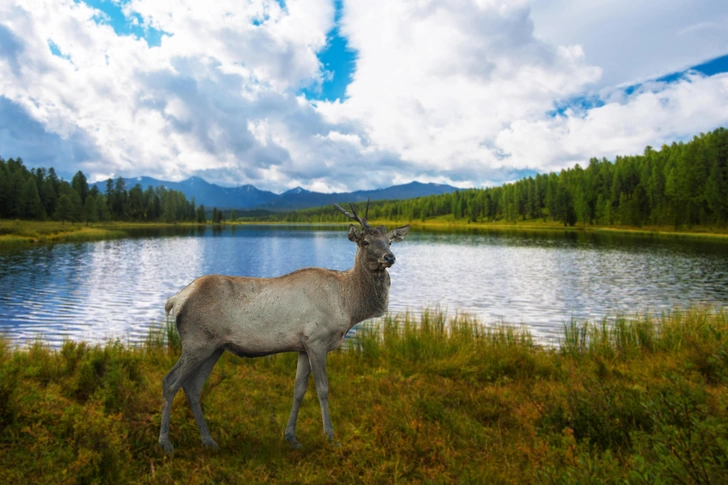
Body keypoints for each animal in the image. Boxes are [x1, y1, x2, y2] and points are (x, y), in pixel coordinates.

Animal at [159, 199, 410, 450]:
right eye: (366, 242)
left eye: (389, 241)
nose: (389, 257)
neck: (349, 306)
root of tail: (176, 300)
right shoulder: (317, 340)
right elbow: (323, 389)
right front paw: (330, 436)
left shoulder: (303, 346)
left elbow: (298, 390)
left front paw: (291, 437)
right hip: (196, 342)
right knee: (170, 381)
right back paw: (165, 443)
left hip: (214, 347)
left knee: (192, 387)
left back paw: (209, 440)